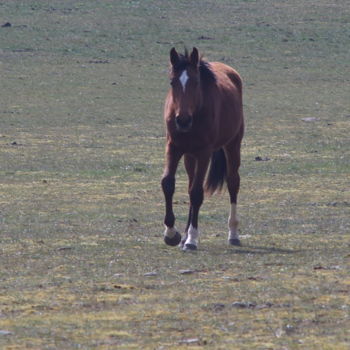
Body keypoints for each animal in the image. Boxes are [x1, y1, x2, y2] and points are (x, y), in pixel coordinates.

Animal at [161, 47, 243, 252]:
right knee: (191, 184)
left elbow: (197, 193)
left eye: (196, 82)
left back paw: (233, 234)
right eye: (172, 82)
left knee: (233, 183)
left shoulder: (204, 152)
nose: (182, 120)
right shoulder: (173, 147)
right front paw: (172, 234)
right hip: (190, 156)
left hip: (232, 145)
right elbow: (168, 184)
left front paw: (191, 239)